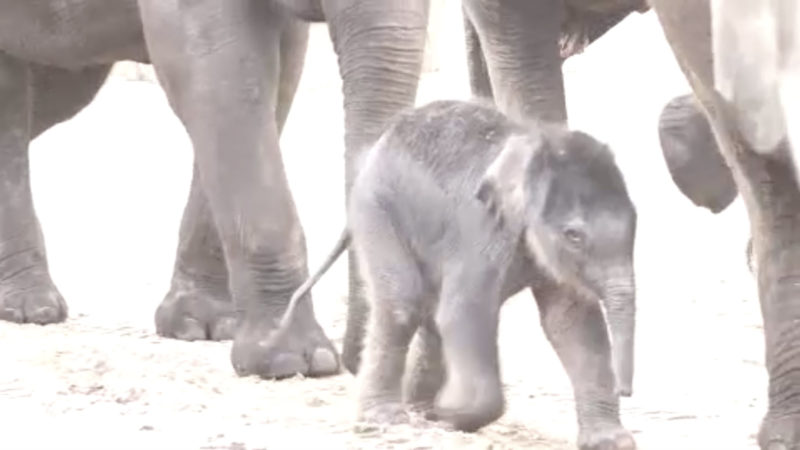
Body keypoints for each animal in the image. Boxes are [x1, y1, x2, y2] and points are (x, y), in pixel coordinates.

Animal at [1, 0, 432, 380]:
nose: (356, 363)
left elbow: (280, 71)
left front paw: (202, 327)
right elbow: (219, 73)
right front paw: (290, 361)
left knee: (54, 93)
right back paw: (32, 309)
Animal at [276, 101, 636, 450]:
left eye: (636, 224)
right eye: (573, 235)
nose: (626, 391)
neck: (531, 146)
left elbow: (572, 322)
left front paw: (612, 443)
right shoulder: (481, 228)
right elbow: (465, 312)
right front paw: (448, 417)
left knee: (429, 312)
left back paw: (419, 409)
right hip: (376, 209)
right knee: (403, 303)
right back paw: (390, 419)